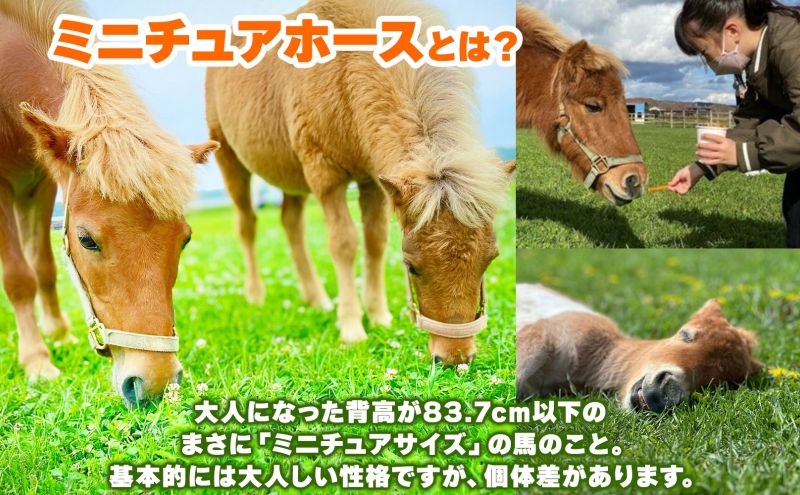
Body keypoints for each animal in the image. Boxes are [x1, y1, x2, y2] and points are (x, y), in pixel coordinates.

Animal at [0, 0, 218, 407]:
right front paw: (37, 361)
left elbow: (43, 267)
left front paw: (59, 335)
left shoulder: (40, 186)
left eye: (185, 239)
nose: (156, 384)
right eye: (86, 240)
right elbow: (19, 277)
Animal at [206, 0, 515, 364]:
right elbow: (343, 244)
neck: (346, 71)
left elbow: (375, 240)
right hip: (231, 160)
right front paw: (352, 328)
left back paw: (317, 298)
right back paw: (256, 294)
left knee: (291, 223)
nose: (455, 357)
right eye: (411, 267)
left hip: (291, 176)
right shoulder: (325, 176)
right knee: (247, 224)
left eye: (490, 259)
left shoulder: (374, 181)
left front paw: (379, 316)